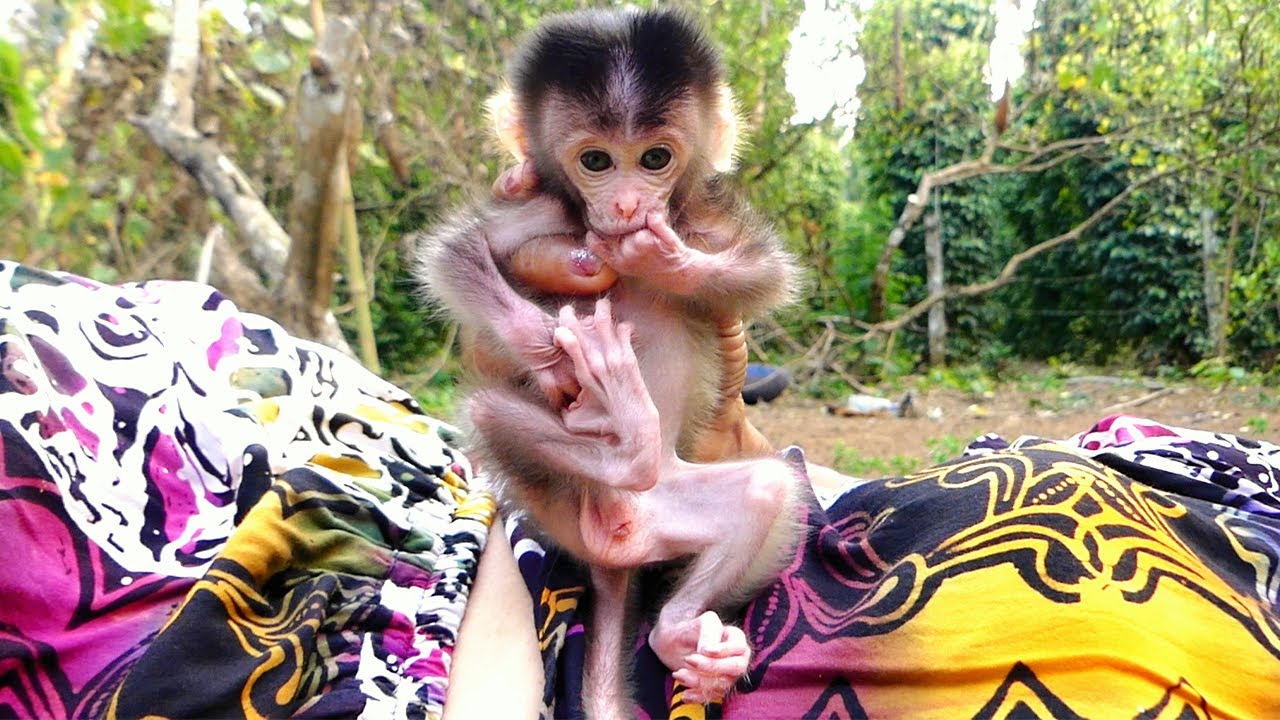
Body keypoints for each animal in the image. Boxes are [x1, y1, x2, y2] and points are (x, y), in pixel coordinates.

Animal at [415, 8, 803, 715]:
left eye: (654, 159)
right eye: (595, 161)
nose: (625, 206)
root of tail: (622, 544)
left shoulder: (703, 217)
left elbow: (761, 274)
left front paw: (660, 258)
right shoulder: (541, 208)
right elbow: (455, 254)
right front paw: (548, 350)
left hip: (675, 505)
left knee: (765, 489)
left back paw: (680, 635)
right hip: (567, 501)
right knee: (489, 411)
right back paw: (626, 430)